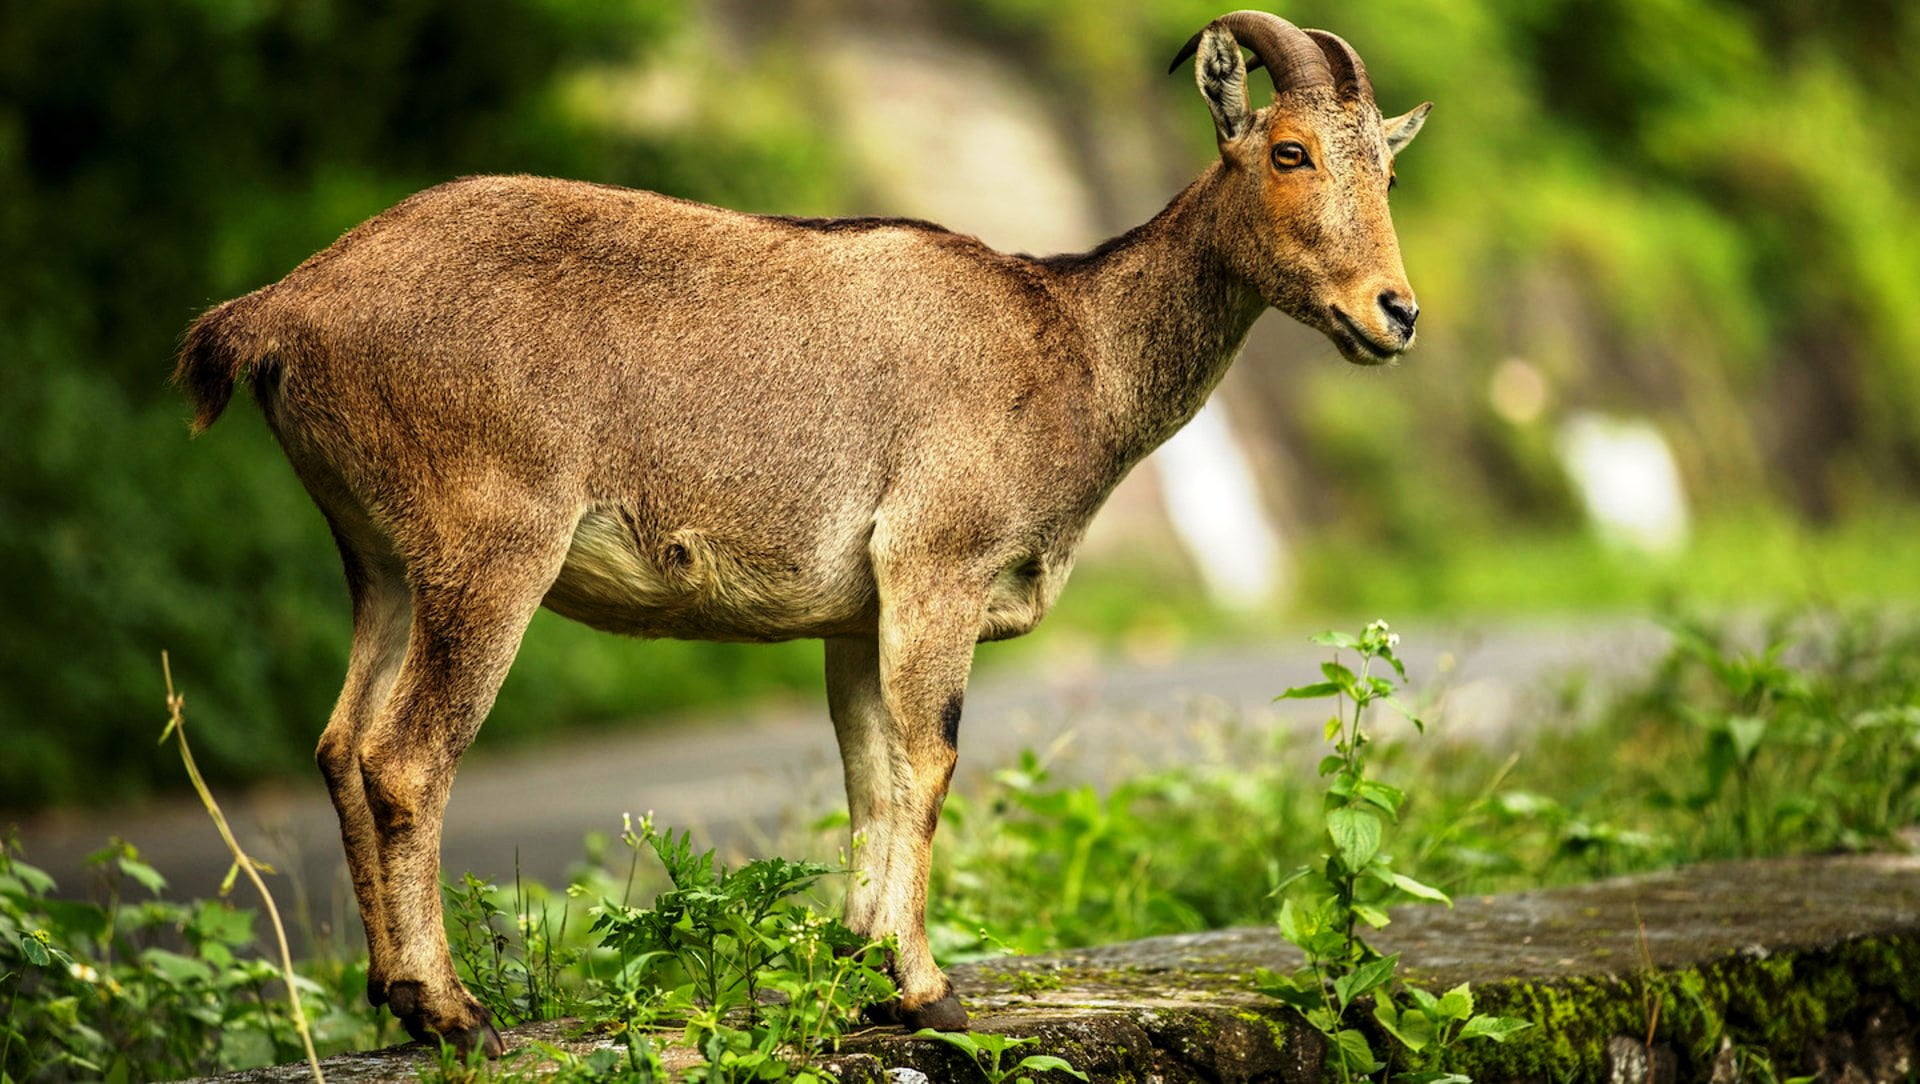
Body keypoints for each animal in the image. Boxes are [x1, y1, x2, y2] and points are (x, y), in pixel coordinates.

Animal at [172, 12, 1428, 1051]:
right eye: (1289, 152)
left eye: (1386, 163)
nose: (1395, 313)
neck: (1070, 343)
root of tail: (283, 309)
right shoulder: (936, 568)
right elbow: (929, 758)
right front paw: (926, 987)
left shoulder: (856, 613)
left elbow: (870, 771)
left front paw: (866, 969)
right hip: (488, 551)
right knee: (405, 756)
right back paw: (450, 1010)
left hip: (380, 560)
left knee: (341, 742)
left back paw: (392, 998)